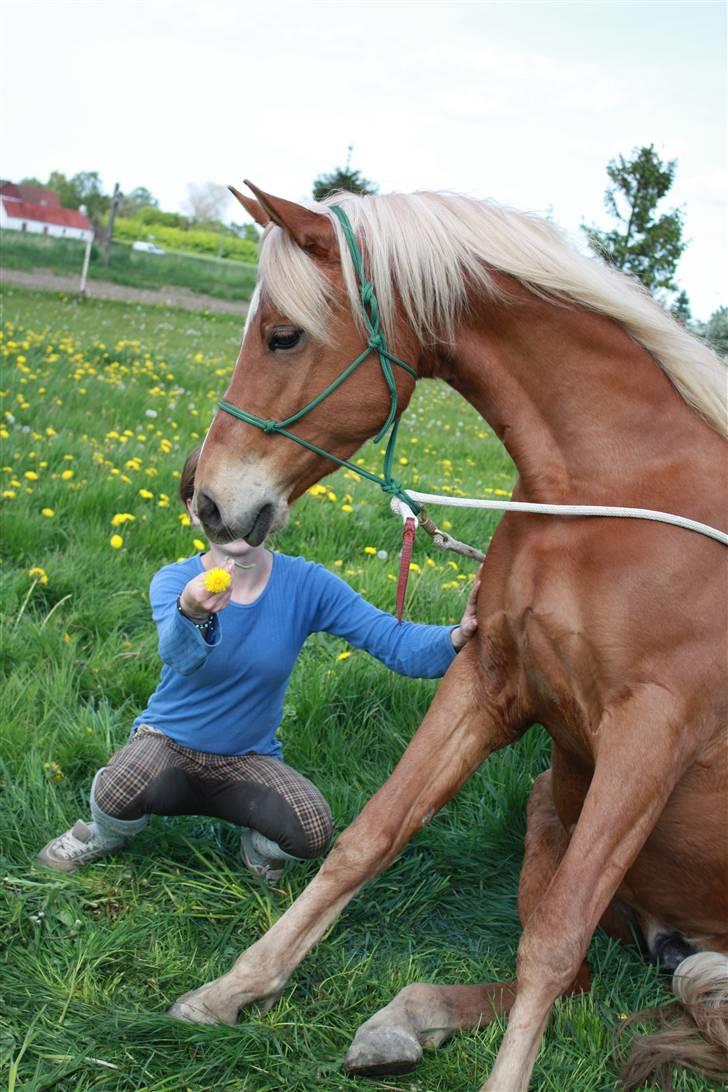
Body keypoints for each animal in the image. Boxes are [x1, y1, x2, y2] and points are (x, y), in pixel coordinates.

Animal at [172, 183, 728, 1087]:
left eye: (283, 334)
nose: (207, 499)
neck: (614, 496)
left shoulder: (650, 736)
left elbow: (553, 937)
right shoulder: (489, 682)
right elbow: (369, 839)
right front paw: (233, 990)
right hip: (550, 803)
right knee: (585, 980)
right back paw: (403, 1019)